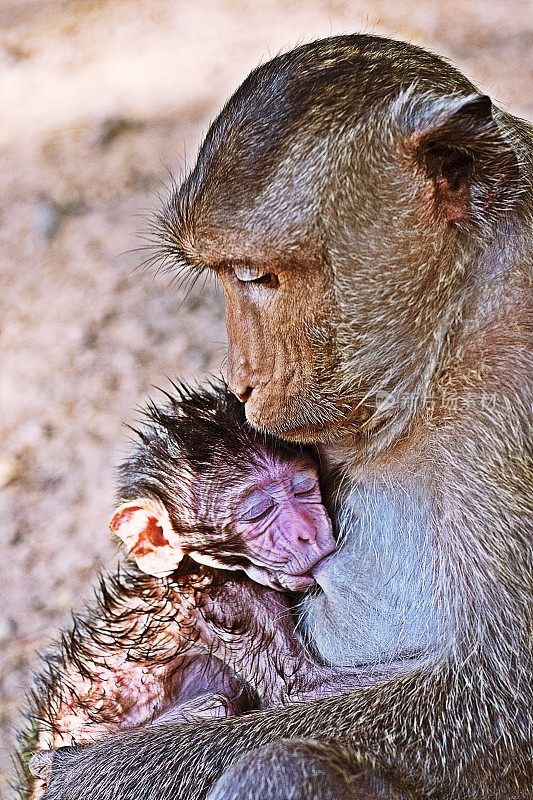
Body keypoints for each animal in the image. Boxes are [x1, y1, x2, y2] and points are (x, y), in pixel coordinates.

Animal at [38, 34, 532, 800]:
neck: (452, 329)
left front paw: (85, 772)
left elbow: (494, 699)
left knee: (279, 762)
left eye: (254, 277)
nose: (244, 380)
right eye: (229, 276)